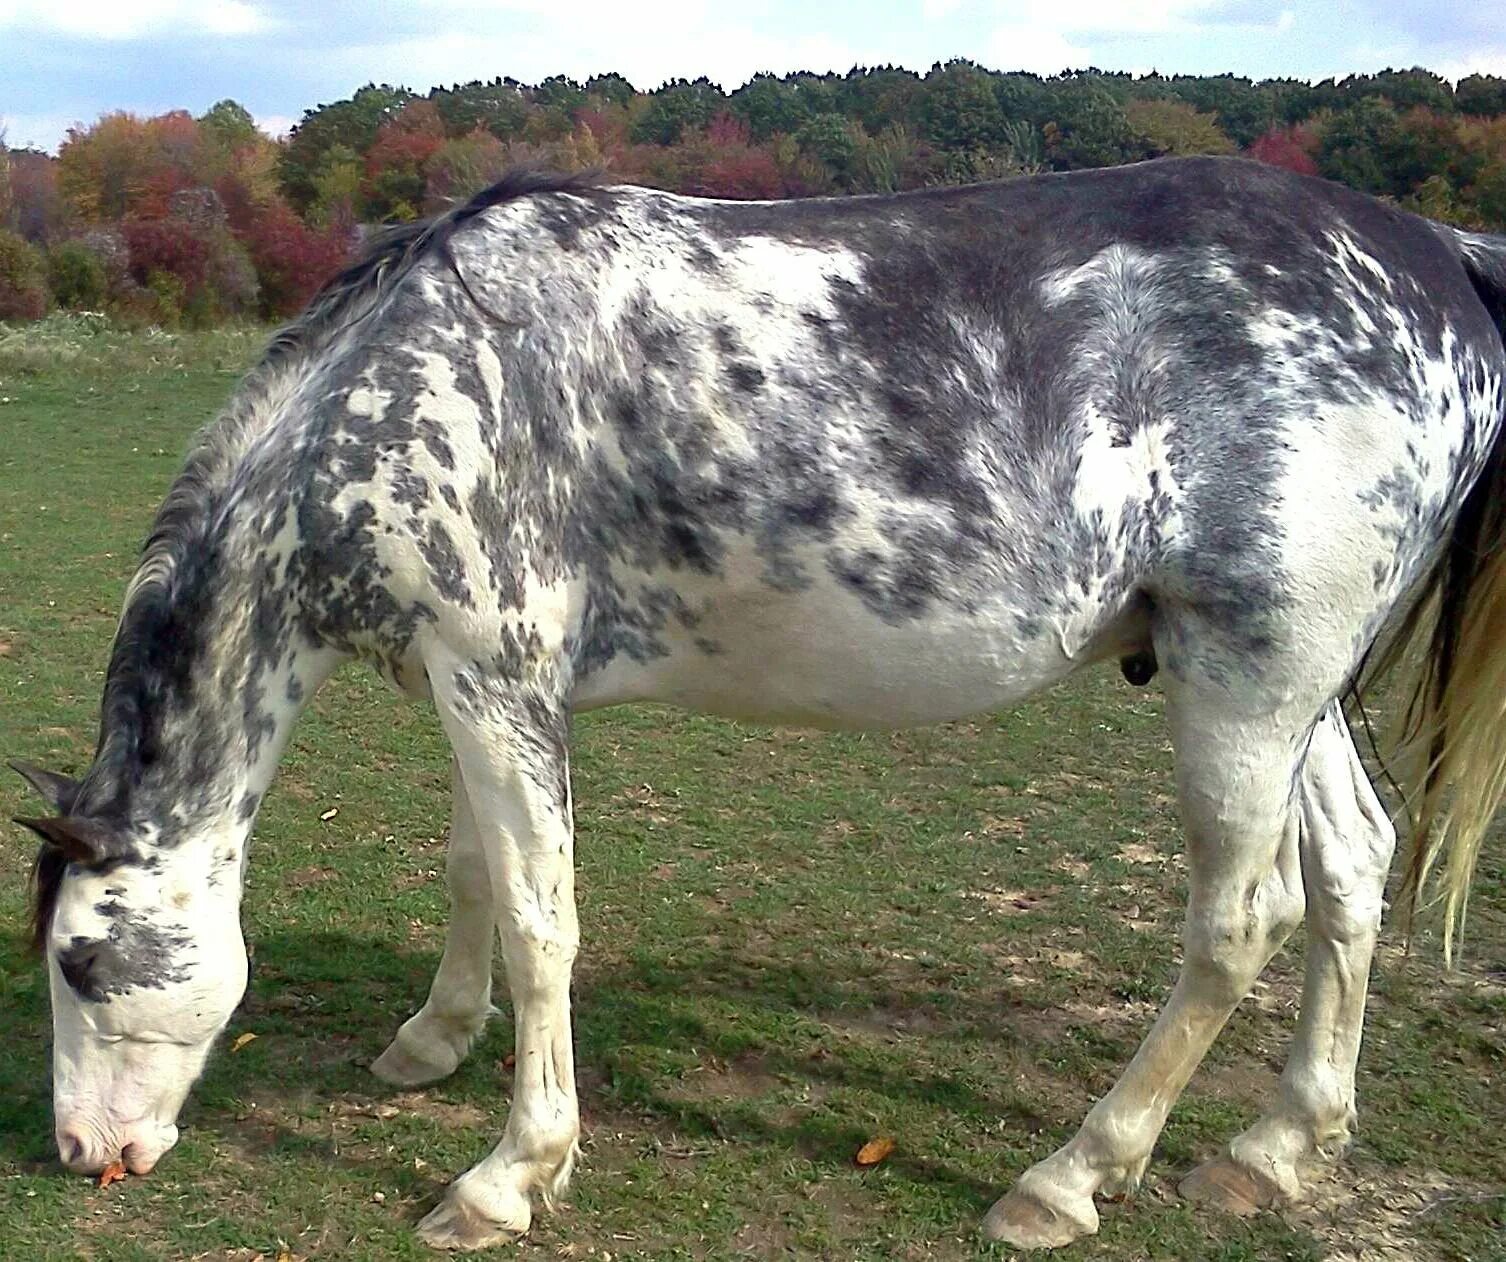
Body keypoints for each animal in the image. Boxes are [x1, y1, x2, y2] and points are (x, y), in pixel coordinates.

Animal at [11, 160, 1506, 1252]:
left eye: (79, 965)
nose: (83, 1152)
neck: (414, 380)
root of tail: (1436, 255)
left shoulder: (495, 681)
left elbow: (542, 921)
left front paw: (510, 1171)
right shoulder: (480, 681)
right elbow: (475, 873)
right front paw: (431, 1039)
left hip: (1247, 688)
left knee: (1238, 921)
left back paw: (1072, 1173)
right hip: (1288, 690)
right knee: (1352, 871)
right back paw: (1276, 1146)